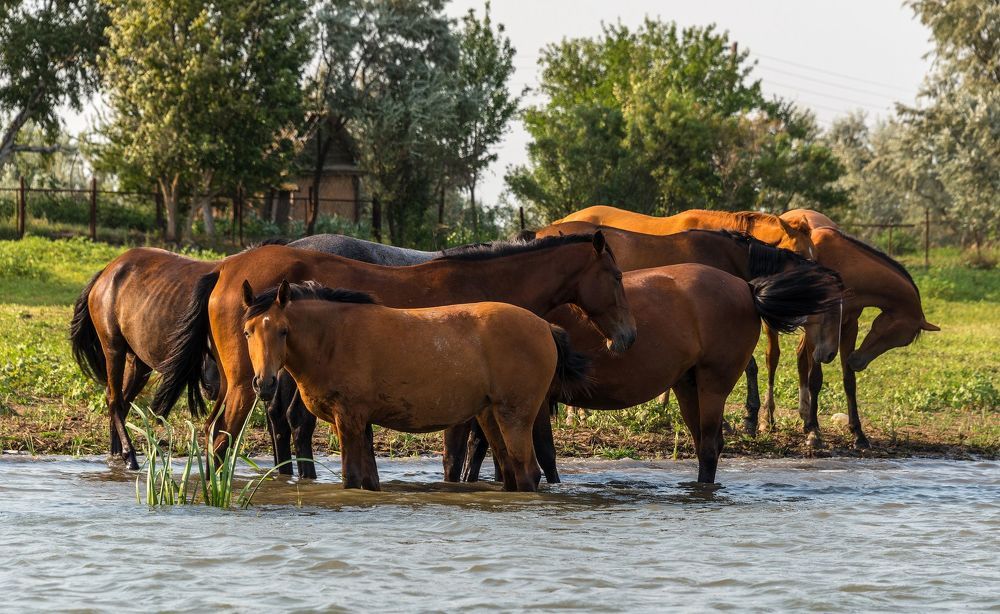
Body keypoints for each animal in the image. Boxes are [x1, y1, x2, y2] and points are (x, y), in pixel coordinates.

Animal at [152, 233, 637, 467]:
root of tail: (224, 269)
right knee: (224, 434)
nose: (628, 337)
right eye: (615, 276)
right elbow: (462, 453)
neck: (484, 285)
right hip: (243, 383)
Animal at [242, 280, 591, 491]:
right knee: (511, 471)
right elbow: (370, 480)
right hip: (490, 416)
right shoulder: (363, 423)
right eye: (248, 331)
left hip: (515, 417)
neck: (332, 336)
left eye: (283, 331)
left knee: (528, 471)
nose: (264, 383)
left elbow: (352, 478)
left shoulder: (349, 419)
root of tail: (545, 326)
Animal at [445, 223, 846, 478]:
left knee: (710, 445)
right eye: (832, 304)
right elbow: (490, 453)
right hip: (690, 385)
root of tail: (746, 288)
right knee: (704, 444)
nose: (827, 353)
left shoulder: (533, 401)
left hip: (713, 384)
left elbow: (533, 454)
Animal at [745, 214, 939, 448]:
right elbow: (815, 379)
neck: (847, 270)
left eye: (900, 341)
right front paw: (814, 432)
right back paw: (768, 419)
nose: (858, 361)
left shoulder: (848, 326)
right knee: (773, 359)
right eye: (893, 332)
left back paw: (804, 413)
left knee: (801, 359)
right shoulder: (816, 328)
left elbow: (848, 381)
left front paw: (857, 433)